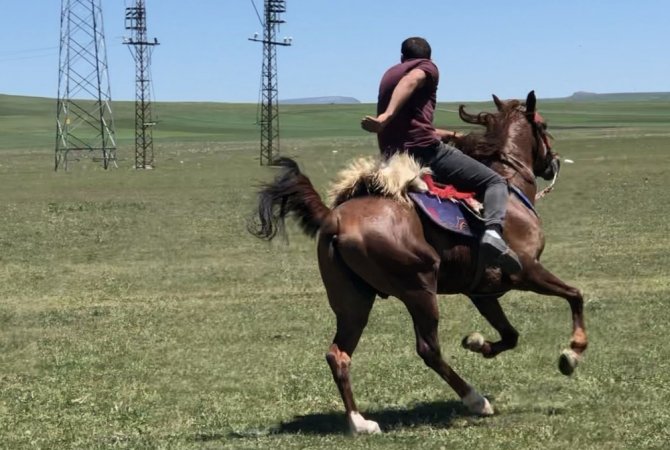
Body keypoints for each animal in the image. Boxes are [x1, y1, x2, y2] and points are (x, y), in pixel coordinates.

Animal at [248, 90, 588, 432]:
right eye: (543, 125)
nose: (553, 160)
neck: (509, 187)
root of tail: (334, 219)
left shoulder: (483, 291)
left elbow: (510, 335)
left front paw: (477, 343)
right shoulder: (527, 271)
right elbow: (575, 295)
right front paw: (572, 353)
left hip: (353, 300)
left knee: (338, 354)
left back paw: (360, 422)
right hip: (419, 288)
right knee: (428, 349)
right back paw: (476, 400)